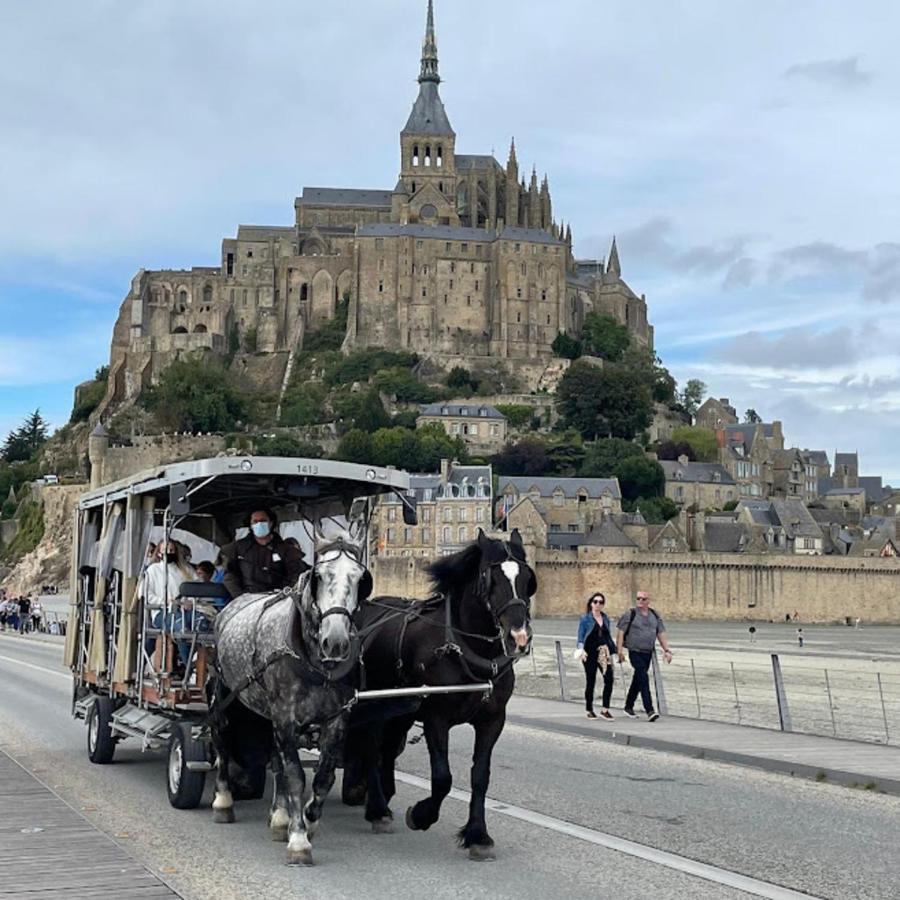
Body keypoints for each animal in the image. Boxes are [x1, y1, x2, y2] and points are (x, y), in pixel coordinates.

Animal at [348, 532, 536, 860]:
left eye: (527, 577)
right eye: (489, 577)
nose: (519, 637)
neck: (462, 646)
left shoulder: (492, 720)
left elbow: (480, 776)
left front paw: (477, 834)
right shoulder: (437, 718)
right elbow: (442, 778)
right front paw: (421, 815)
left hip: (400, 712)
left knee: (387, 749)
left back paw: (383, 794)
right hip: (374, 706)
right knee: (372, 750)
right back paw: (378, 808)